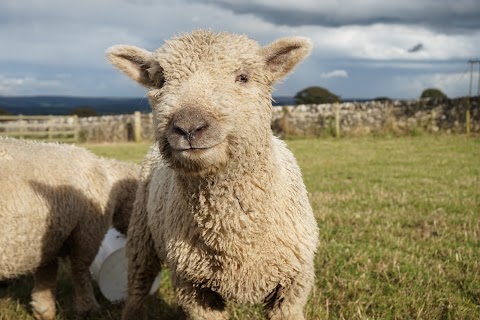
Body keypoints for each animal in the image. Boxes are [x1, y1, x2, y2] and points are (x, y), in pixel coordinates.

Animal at [0, 139, 140, 320]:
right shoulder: (86, 232)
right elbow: (81, 270)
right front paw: (88, 308)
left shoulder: (51, 237)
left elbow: (47, 272)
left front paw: (44, 309)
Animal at [108, 28, 318, 318]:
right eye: (161, 80)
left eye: (243, 77)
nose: (188, 126)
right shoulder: (194, 289)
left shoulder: (292, 288)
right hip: (142, 231)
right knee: (138, 284)